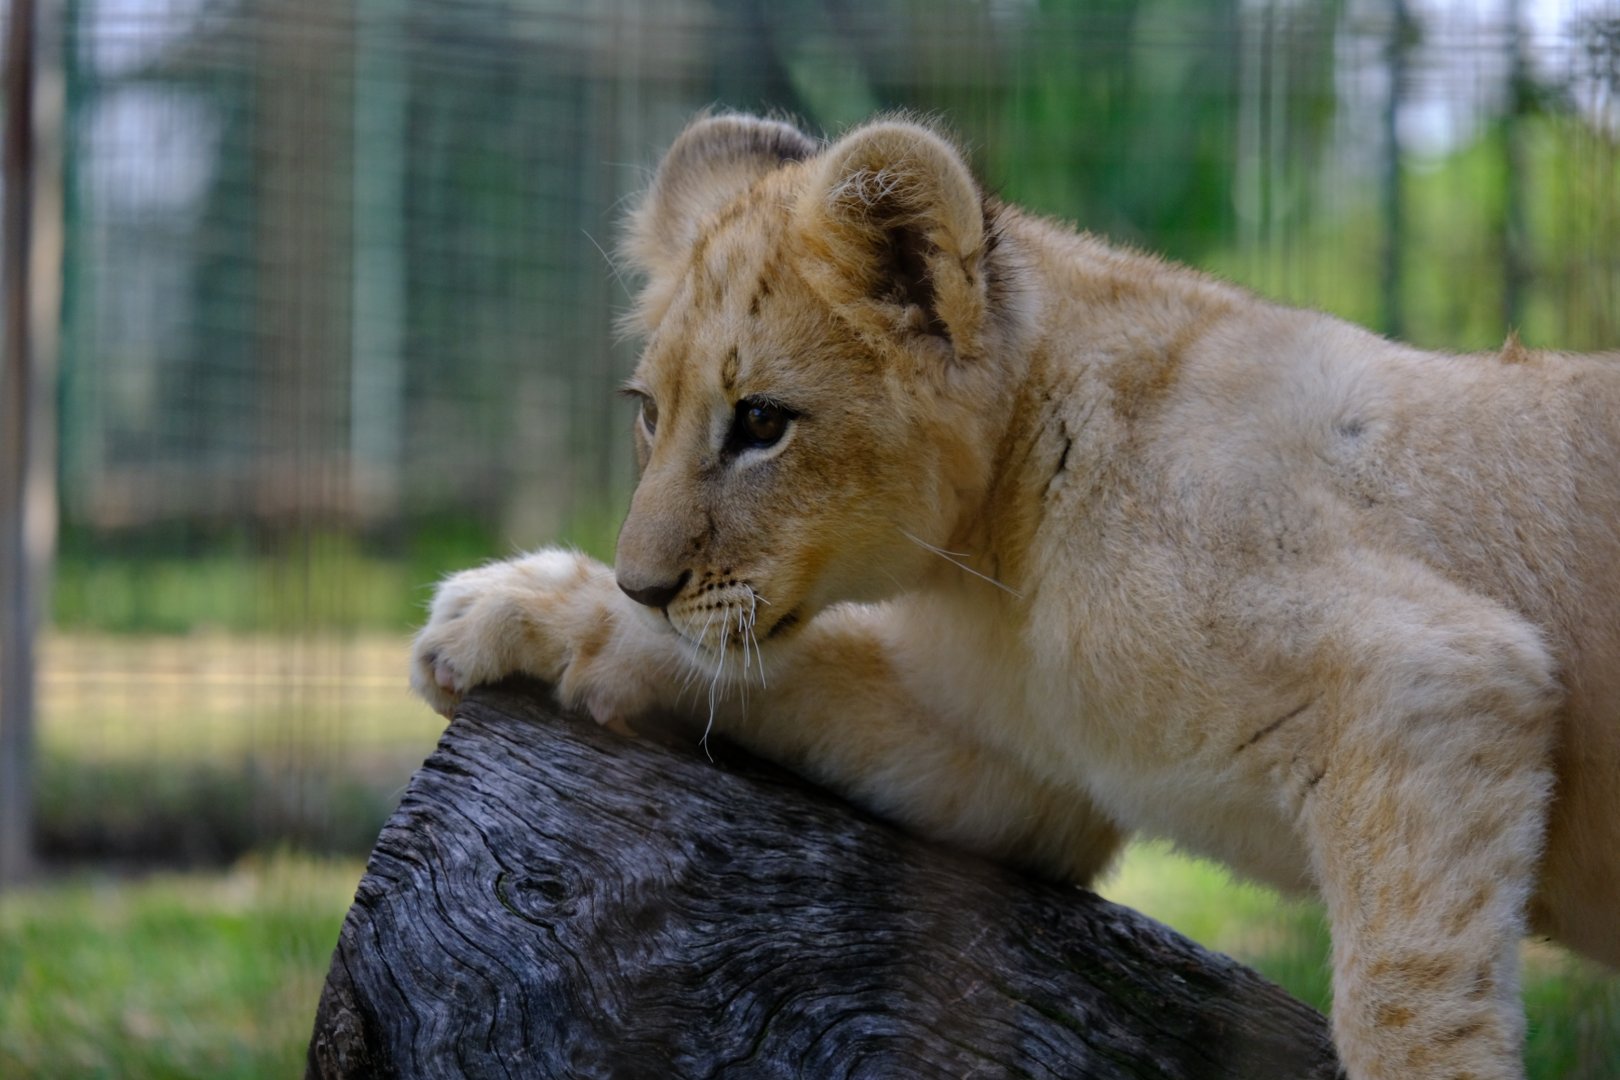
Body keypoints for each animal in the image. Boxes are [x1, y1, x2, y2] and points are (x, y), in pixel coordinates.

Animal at [411, 114, 1619, 1079]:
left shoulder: (1435, 676)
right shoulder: (1029, 772)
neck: (994, 558)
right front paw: (508, 615)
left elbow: (1405, 1008)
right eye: (649, 414)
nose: (645, 584)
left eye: (760, 422)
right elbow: (794, 669)